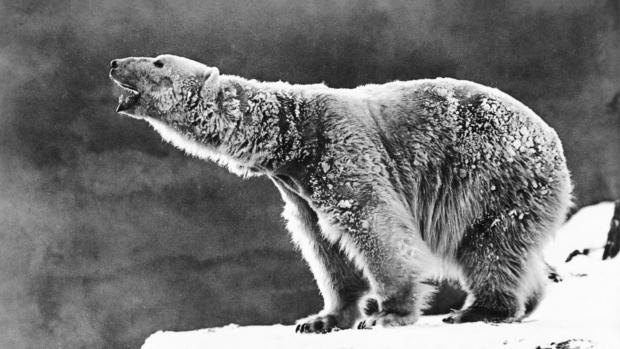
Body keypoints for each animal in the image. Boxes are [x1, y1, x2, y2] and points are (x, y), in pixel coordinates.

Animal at [110, 53, 572, 332]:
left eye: (158, 61)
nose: (114, 62)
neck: (289, 136)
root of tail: (552, 140)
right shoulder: (299, 190)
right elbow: (324, 247)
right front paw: (320, 319)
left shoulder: (339, 148)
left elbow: (371, 221)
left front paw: (387, 314)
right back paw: (527, 299)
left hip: (490, 178)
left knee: (490, 243)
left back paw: (479, 310)